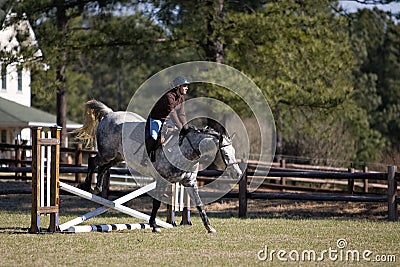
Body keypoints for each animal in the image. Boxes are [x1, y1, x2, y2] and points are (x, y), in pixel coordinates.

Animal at [71, 100, 241, 234]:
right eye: (225, 154)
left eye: (234, 152)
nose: (238, 174)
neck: (186, 150)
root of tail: (110, 114)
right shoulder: (162, 179)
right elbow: (157, 203)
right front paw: (153, 225)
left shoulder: (189, 183)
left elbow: (199, 204)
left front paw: (209, 228)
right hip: (107, 153)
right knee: (93, 161)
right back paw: (86, 185)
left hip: (117, 157)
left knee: (103, 168)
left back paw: (97, 188)